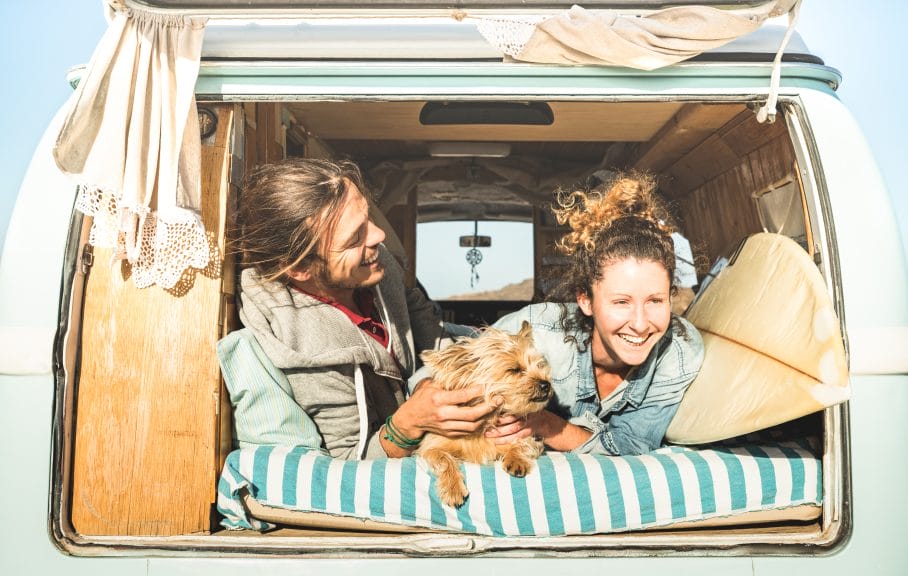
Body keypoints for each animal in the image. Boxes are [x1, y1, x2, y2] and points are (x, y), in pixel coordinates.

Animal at [414, 322, 552, 506]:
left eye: (540, 365)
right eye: (514, 370)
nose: (546, 384)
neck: (487, 423)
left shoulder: (530, 438)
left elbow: (524, 443)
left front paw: (516, 458)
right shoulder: (431, 446)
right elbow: (443, 459)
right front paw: (452, 487)